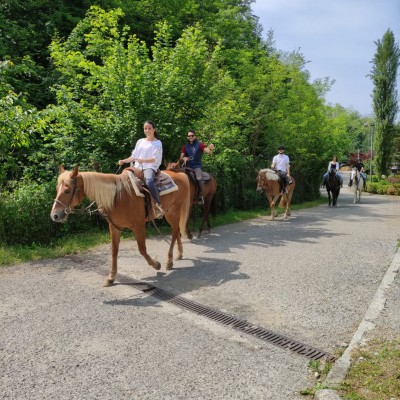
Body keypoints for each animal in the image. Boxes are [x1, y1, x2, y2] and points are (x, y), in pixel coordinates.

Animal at [50, 166, 191, 288]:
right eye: (57, 189)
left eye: (67, 190)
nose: (55, 215)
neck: (119, 197)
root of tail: (180, 175)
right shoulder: (114, 227)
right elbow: (114, 251)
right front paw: (111, 277)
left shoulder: (139, 225)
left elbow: (142, 249)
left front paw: (156, 265)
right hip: (170, 214)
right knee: (177, 230)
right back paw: (179, 254)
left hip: (173, 212)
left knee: (174, 232)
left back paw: (169, 261)